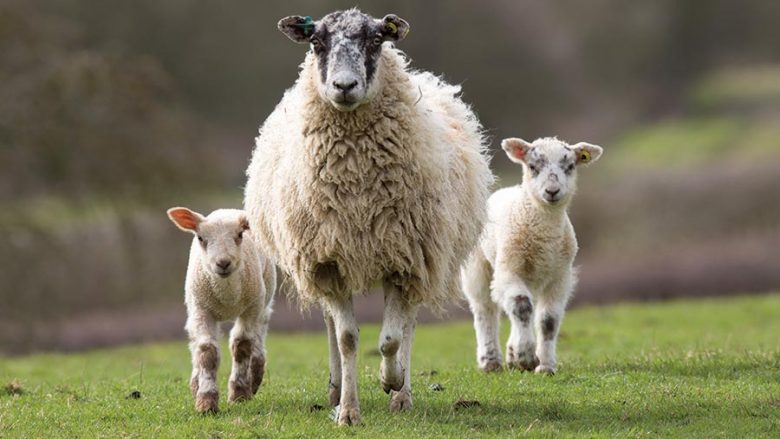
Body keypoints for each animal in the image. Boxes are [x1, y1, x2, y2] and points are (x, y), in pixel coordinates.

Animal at [166, 206, 276, 412]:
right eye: (200, 238)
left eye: (240, 235)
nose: (223, 263)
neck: (227, 296)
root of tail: (227, 209)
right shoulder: (201, 309)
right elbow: (206, 351)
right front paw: (206, 400)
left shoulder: (251, 307)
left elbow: (242, 345)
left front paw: (239, 393)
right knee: (194, 342)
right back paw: (196, 382)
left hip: (264, 295)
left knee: (260, 331)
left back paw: (255, 376)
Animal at [244, 7, 490, 426]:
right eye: (316, 42)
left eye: (376, 40)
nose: (344, 86)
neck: (357, 189)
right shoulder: (328, 260)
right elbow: (347, 338)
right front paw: (348, 411)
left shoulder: (404, 259)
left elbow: (391, 339)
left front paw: (392, 381)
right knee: (332, 324)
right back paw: (335, 388)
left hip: (419, 257)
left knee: (407, 325)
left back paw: (402, 393)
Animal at [464, 137, 604, 374]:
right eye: (532, 166)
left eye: (570, 166)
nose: (552, 191)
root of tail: (504, 190)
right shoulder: (509, 269)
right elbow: (522, 307)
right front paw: (527, 357)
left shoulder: (560, 277)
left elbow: (548, 321)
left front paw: (545, 365)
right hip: (478, 266)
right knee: (485, 308)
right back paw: (490, 361)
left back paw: (511, 356)